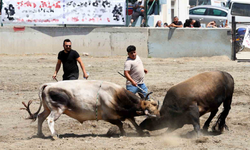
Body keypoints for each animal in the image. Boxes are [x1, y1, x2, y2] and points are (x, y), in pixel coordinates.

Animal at [22, 80, 160, 139]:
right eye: (152, 108)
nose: (159, 116)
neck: (115, 96)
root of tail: (49, 85)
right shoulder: (108, 116)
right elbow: (120, 123)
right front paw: (123, 132)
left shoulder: (124, 113)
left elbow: (132, 120)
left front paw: (142, 132)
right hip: (57, 110)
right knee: (50, 120)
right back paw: (54, 135)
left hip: (47, 109)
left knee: (40, 117)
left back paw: (40, 134)